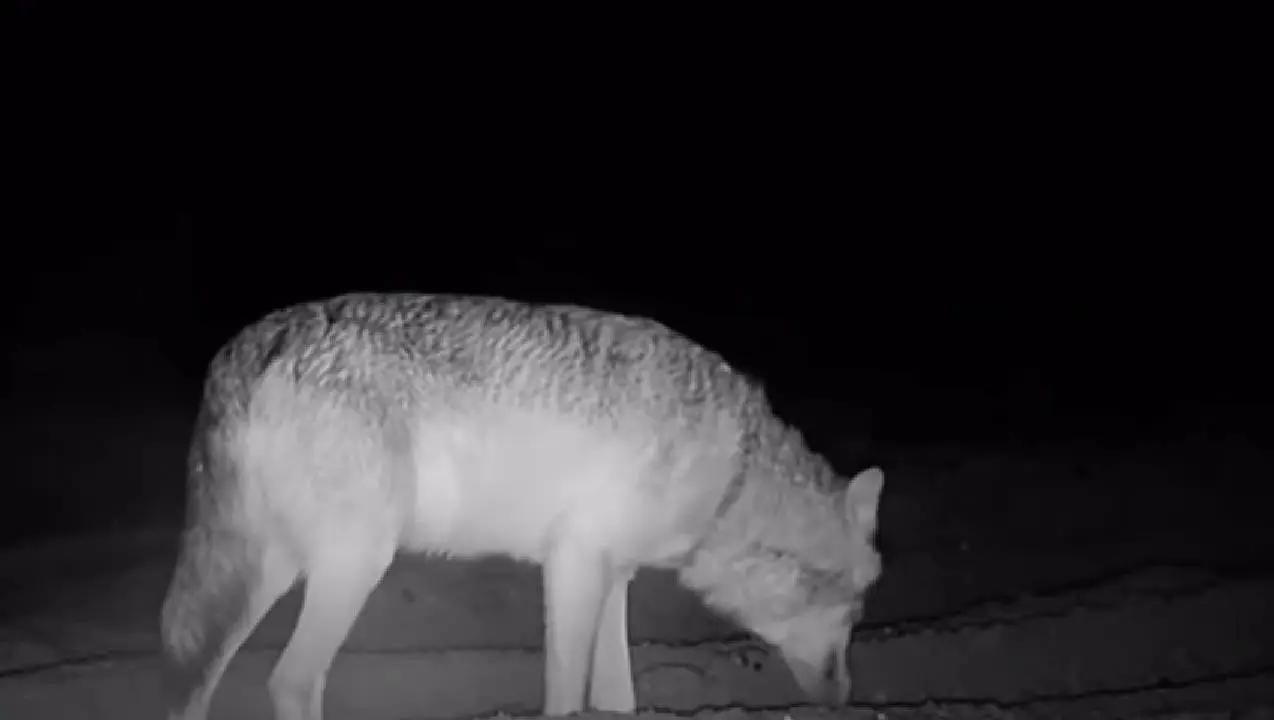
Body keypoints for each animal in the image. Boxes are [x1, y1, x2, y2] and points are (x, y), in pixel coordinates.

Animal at [159, 292, 884, 720]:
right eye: (854, 614)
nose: (846, 700)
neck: (734, 474)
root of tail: (247, 348)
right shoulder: (574, 563)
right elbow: (565, 698)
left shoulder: (612, 574)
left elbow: (616, 698)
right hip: (353, 565)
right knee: (290, 681)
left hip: (272, 572)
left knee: (197, 674)